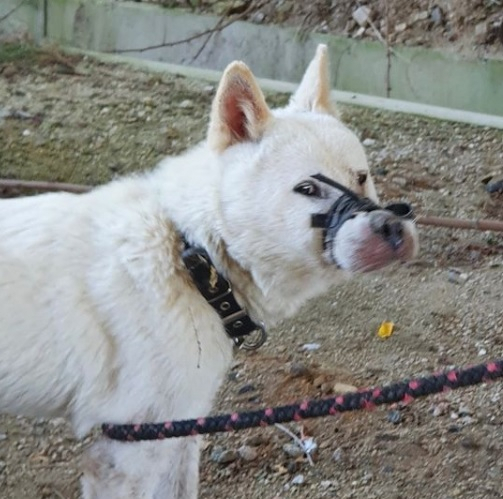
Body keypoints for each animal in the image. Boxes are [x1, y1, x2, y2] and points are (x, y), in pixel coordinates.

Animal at [0, 45, 420, 498]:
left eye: (362, 177)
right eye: (308, 189)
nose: (393, 228)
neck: (191, 256)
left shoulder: (177, 429)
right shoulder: (128, 451)